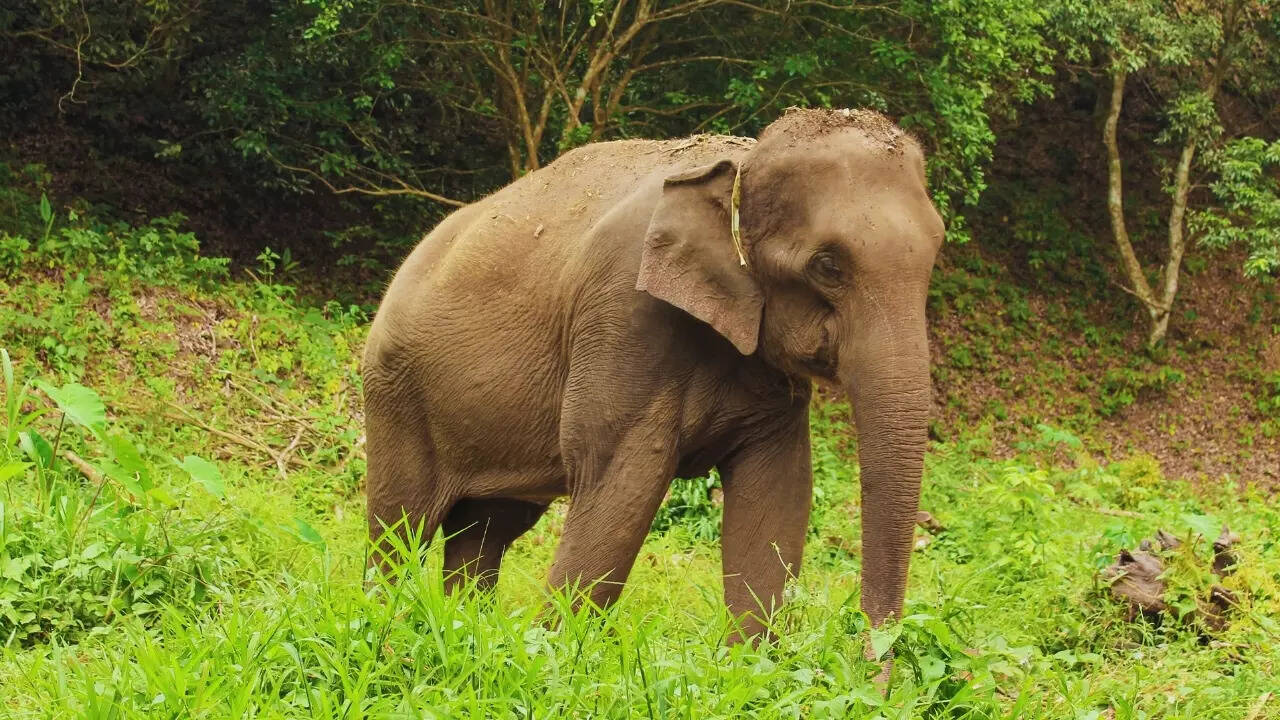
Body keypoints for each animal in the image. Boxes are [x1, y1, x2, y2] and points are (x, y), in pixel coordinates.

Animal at [363, 108, 944, 639]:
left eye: (936, 252)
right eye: (827, 266)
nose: (874, 657)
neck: (741, 162)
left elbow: (779, 487)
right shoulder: (625, 314)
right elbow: (621, 478)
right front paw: (551, 650)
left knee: (486, 529)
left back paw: (464, 626)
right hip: (396, 395)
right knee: (400, 526)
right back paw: (385, 622)